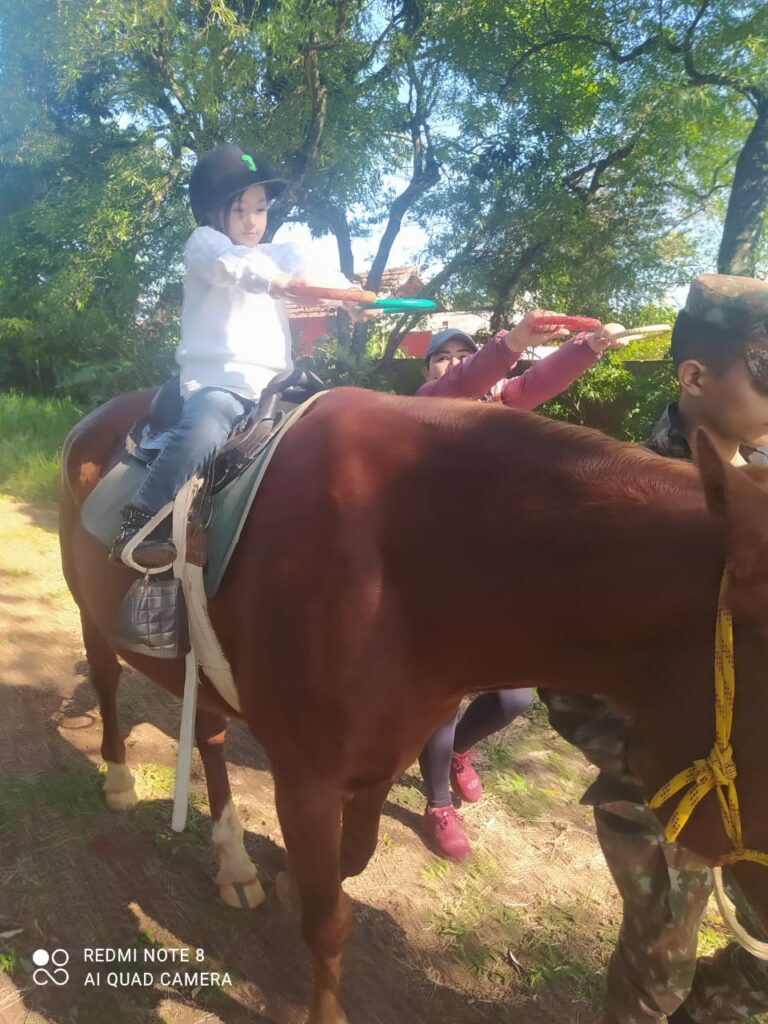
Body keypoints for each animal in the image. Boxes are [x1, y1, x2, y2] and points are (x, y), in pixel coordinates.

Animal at [61, 385, 768, 1024]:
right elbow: (328, 920)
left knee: (206, 733)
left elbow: (351, 861)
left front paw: (287, 882)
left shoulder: (385, 753)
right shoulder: (305, 780)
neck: (403, 574)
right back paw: (120, 780)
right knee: (107, 682)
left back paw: (234, 863)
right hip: (92, 615)